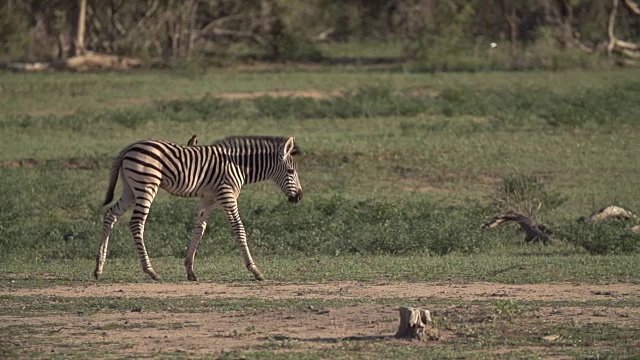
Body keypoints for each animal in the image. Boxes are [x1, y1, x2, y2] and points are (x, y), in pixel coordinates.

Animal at [94, 135, 304, 282]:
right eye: (291, 171)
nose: (299, 197)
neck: (239, 166)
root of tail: (130, 147)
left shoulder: (208, 199)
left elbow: (199, 229)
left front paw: (190, 270)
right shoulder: (227, 196)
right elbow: (239, 229)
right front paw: (255, 271)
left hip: (130, 189)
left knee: (110, 215)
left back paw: (98, 268)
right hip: (146, 185)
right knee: (136, 224)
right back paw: (151, 271)